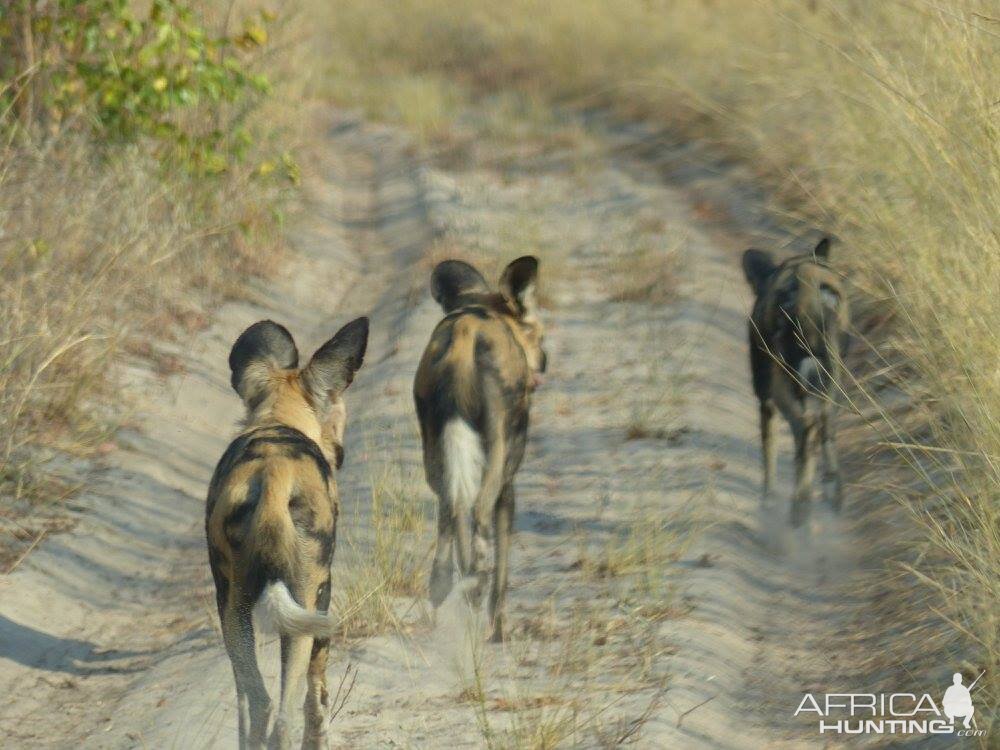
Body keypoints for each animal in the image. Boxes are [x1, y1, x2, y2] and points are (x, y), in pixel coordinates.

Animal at [206, 318, 368, 750]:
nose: (340, 452)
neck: (279, 418)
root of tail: (275, 474)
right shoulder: (321, 599)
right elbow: (317, 698)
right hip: (304, 604)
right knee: (282, 715)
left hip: (234, 609)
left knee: (257, 702)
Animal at [414, 258, 548, 640]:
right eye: (539, 335)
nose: (544, 359)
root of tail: (464, 335)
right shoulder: (508, 482)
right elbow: (503, 569)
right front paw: (499, 628)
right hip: (498, 458)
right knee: (478, 515)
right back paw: (476, 589)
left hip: (436, 454)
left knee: (451, 510)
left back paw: (449, 589)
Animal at [744, 238, 852, 524]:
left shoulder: (766, 400)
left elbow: (768, 455)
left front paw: (767, 501)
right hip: (831, 384)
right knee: (824, 430)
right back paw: (831, 492)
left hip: (782, 390)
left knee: (806, 430)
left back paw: (800, 507)